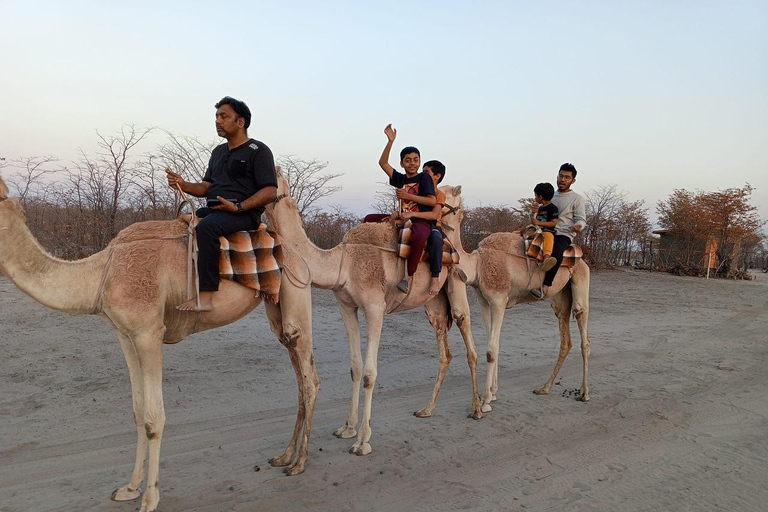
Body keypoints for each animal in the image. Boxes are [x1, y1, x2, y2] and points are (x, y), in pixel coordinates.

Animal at [0, 174, 319, 512]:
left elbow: (154, 418)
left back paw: (299, 463)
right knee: (298, 375)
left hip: (296, 291)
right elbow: (138, 412)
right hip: (276, 311)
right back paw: (284, 456)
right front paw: (129, 488)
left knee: (310, 378)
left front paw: (149, 498)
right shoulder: (125, 335)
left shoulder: (149, 333)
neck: (102, 273)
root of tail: (298, 255)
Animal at [264, 170, 482, 456]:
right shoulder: (346, 306)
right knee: (444, 352)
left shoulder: (375, 309)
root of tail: (454, 249)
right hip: (434, 302)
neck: (343, 263)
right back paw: (427, 409)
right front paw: (347, 428)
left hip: (455, 281)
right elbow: (355, 368)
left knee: (466, 334)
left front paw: (362, 441)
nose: (456, 215)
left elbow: (369, 374)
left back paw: (478, 408)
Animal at [434, 185, 591, 411]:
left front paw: (485, 401)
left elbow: (491, 350)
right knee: (565, 337)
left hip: (581, 279)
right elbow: (493, 344)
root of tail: (581, 257)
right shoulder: (484, 301)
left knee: (582, 328)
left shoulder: (498, 300)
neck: (477, 265)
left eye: (442, 193)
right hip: (561, 296)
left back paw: (584, 393)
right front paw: (493, 393)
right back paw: (544, 388)